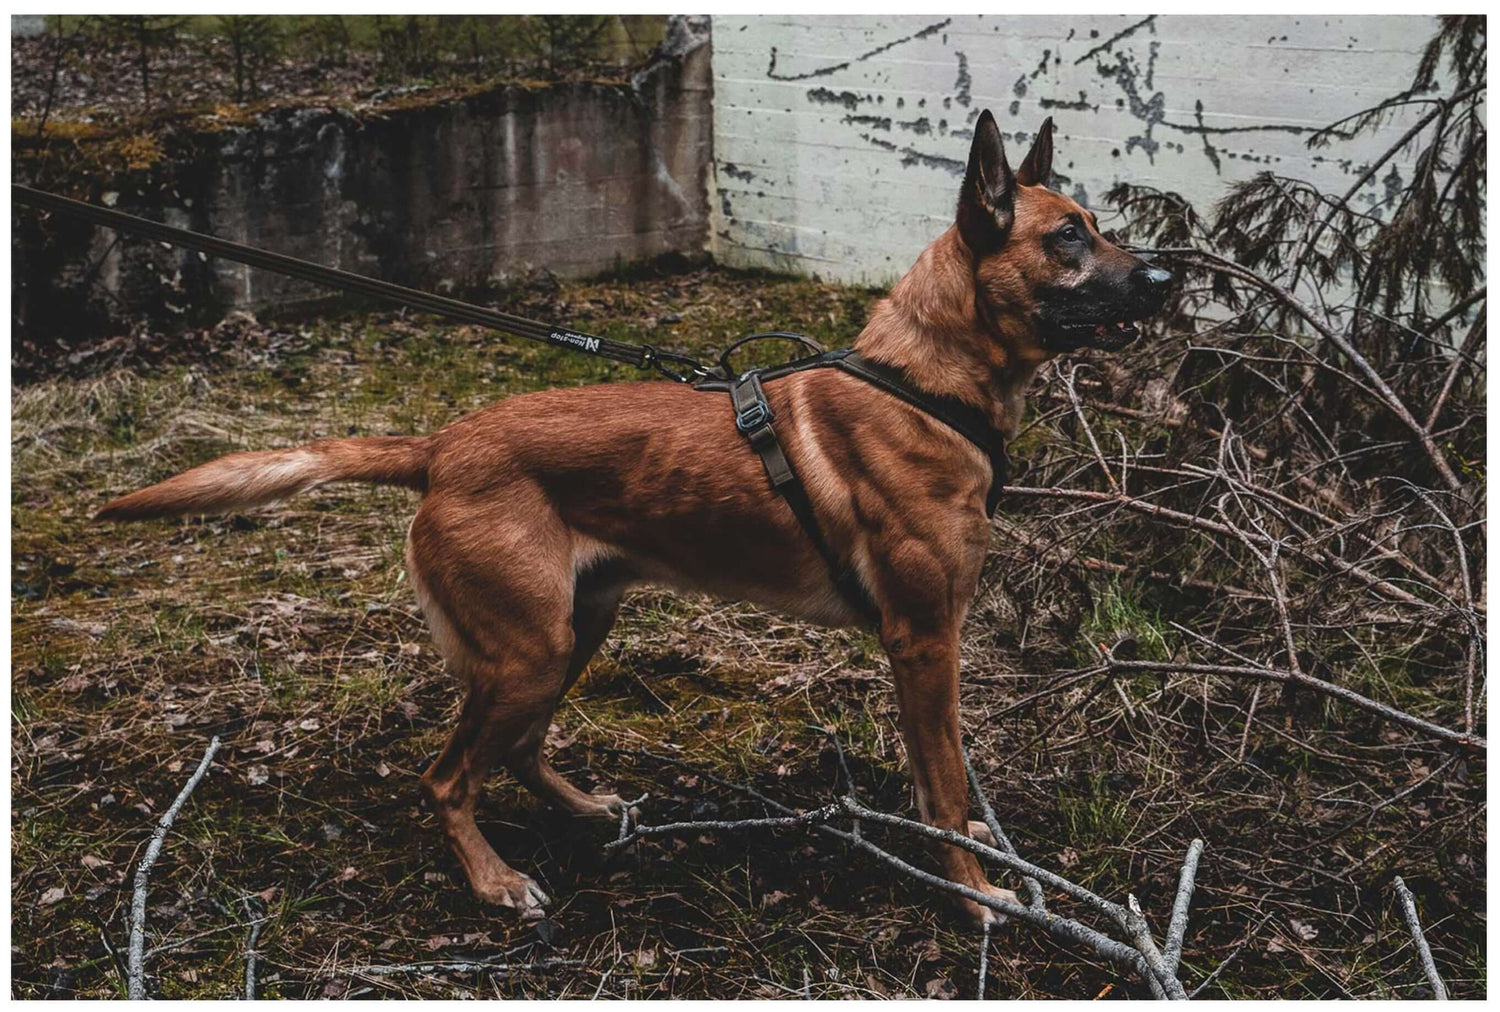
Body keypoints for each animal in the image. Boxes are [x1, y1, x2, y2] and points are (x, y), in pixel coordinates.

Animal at [96, 113, 1170, 923]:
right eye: (1067, 237)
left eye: (1099, 225)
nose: (1168, 277)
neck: (923, 385)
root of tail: (442, 447)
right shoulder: (923, 638)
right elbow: (945, 779)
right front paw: (976, 892)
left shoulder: (920, 650)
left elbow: (932, 766)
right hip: (529, 651)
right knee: (447, 777)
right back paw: (494, 882)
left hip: (575, 629)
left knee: (514, 750)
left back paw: (582, 809)